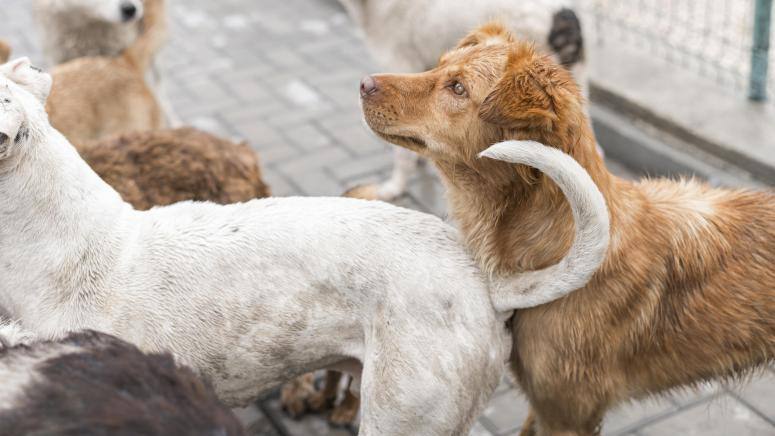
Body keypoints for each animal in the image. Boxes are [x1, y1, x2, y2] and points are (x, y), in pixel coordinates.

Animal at [360, 23, 775, 436]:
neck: (553, 250)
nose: (364, 83)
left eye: (458, 88)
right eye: (439, 64)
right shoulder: (543, 403)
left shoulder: (568, 413)